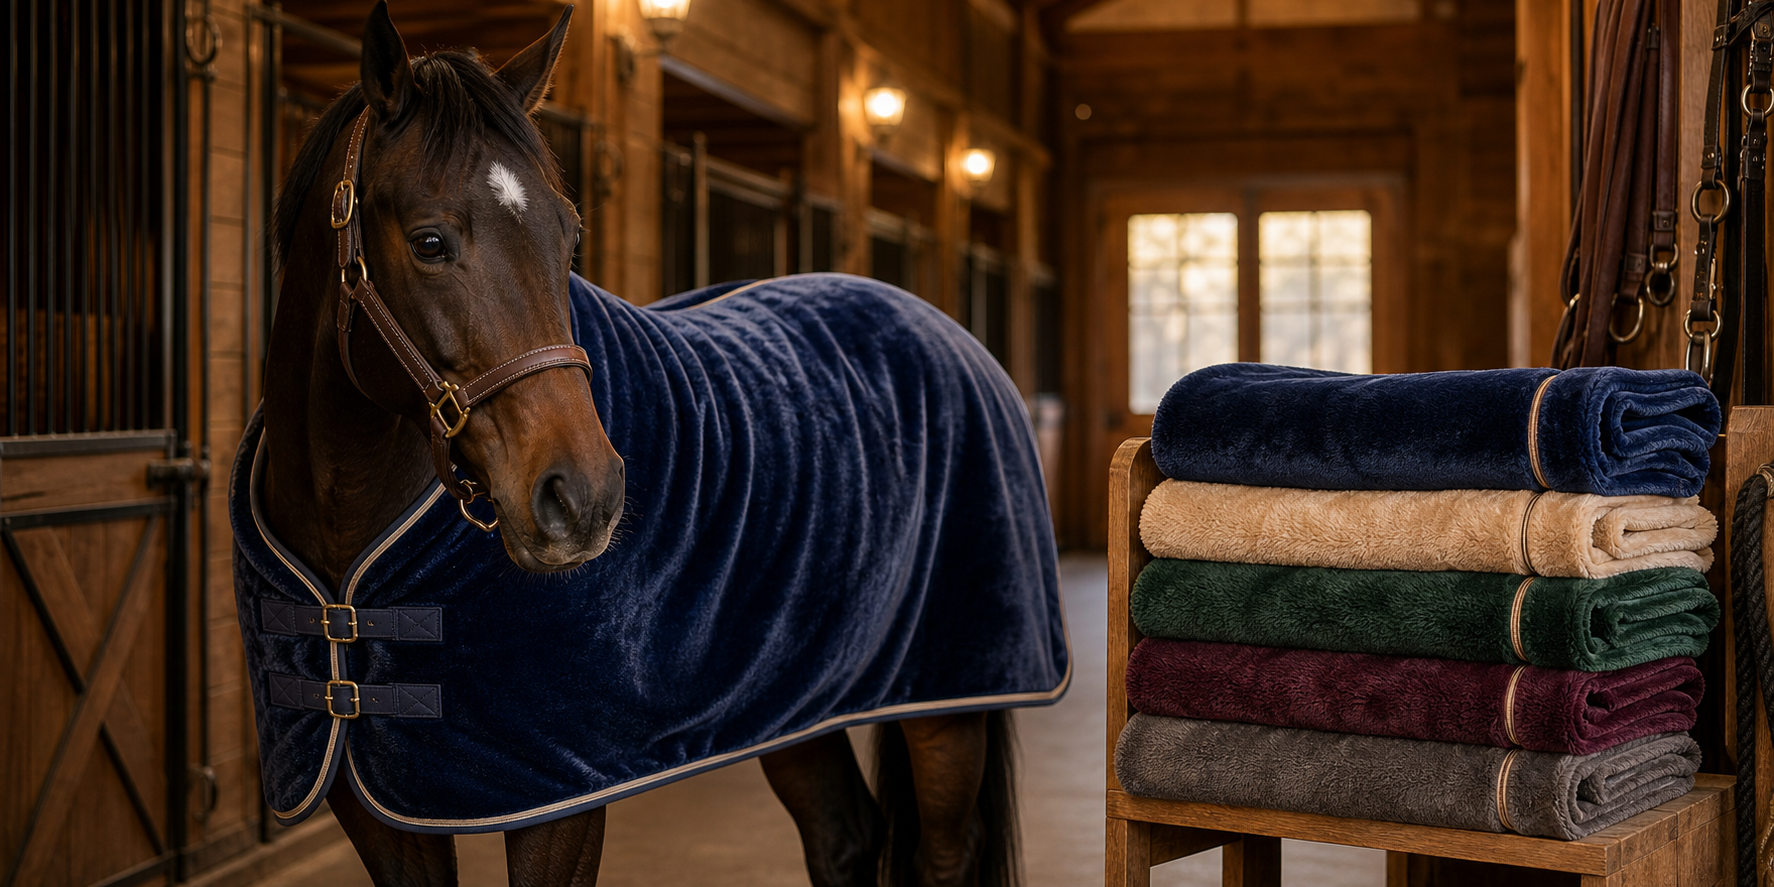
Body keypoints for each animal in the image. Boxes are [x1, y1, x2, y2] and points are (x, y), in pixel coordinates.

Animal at [236, 4, 1068, 886]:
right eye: (429, 241)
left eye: (568, 234)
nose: (584, 496)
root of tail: (953, 333)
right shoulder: (377, 805)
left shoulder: (558, 796)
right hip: (798, 703)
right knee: (844, 836)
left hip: (948, 703)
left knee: (941, 852)